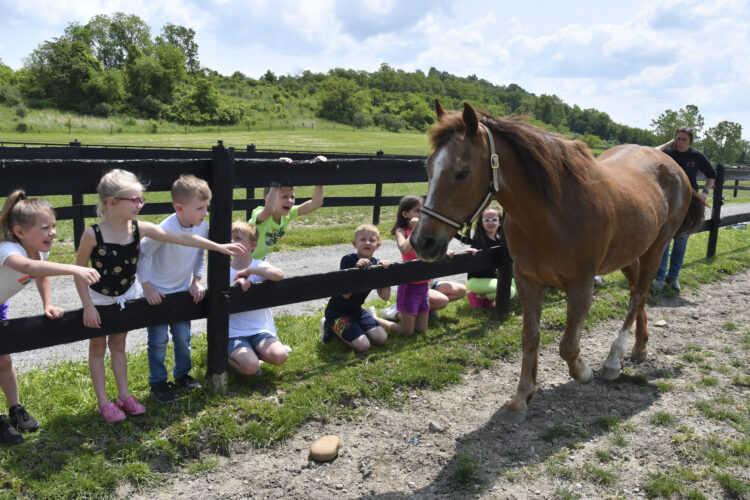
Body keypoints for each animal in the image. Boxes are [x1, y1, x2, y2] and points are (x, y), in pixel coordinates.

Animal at [411, 100, 705, 423]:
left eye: (462, 172)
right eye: (427, 167)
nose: (422, 242)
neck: (551, 211)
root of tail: (672, 165)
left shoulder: (581, 286)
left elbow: (567, 346)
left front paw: (584, 372)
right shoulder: (527, 280)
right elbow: (530, 338)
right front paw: (522, 397)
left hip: (657, 247)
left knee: (639, 294)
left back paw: (613, 361)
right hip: (629, 253)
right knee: (637, 292)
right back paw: (640, 346)